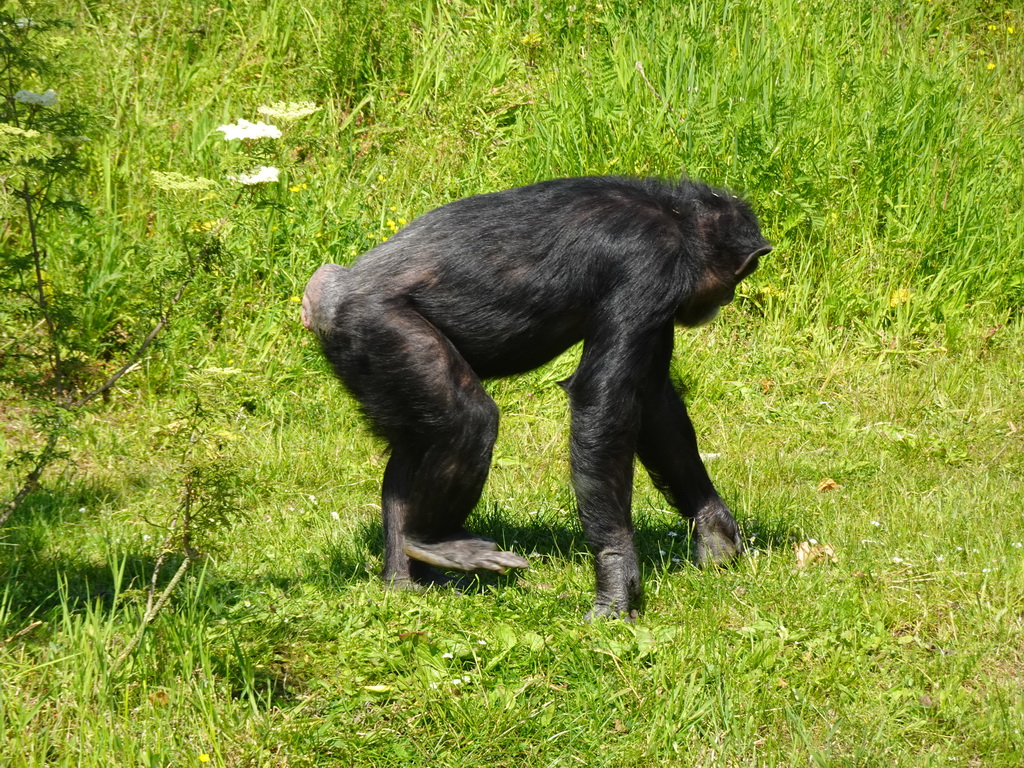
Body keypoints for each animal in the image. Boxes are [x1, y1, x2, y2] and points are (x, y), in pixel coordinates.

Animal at [299, 176, 770, 618]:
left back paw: (408, 578)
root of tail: (320, 297)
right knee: (468, 420)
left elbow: (654, 402)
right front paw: (617, 576)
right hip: (382, 329)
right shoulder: (650, 266)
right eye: (736, 277)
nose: (726, 298)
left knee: (415, 446)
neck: (678, 221)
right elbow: (603, 399)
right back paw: (433, 541)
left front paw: (714, 528)